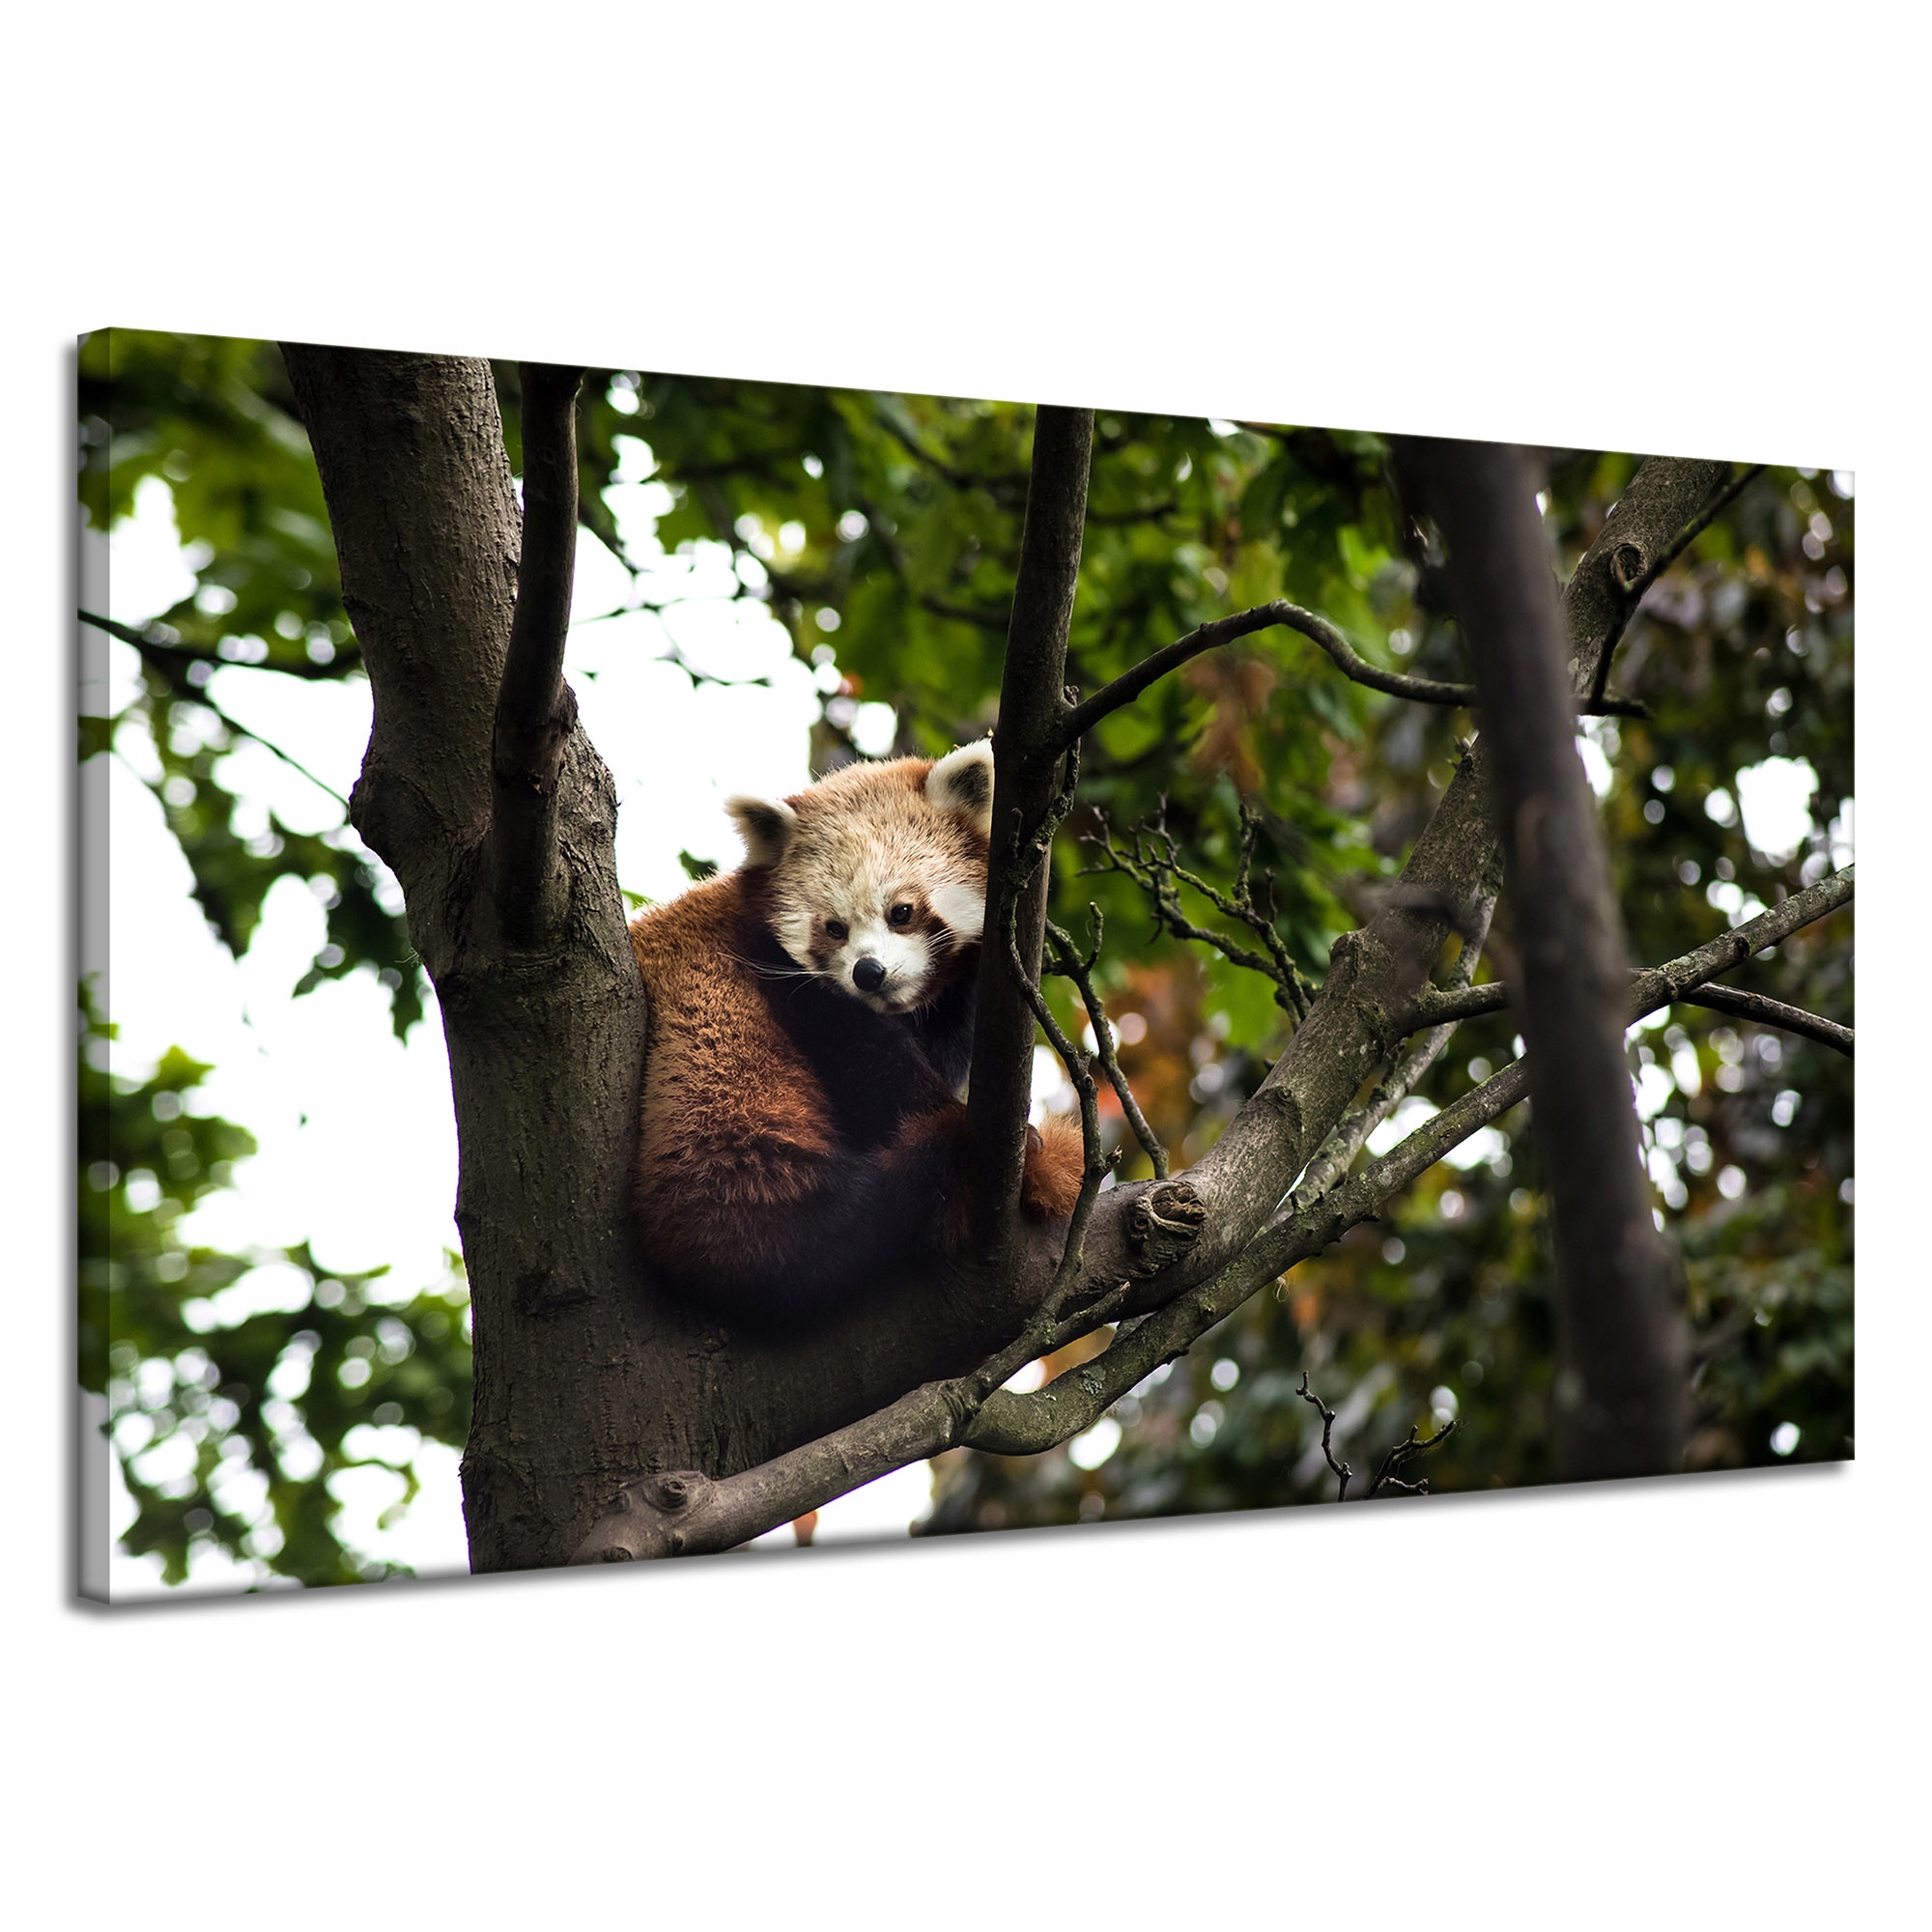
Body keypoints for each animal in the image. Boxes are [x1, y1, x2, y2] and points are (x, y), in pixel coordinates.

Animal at [627, 739, 1085, 1317]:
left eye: (902, 912)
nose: (868, 973)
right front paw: (970, 1125)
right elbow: (875, 1070)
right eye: (834, 928)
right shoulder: (785, 982)